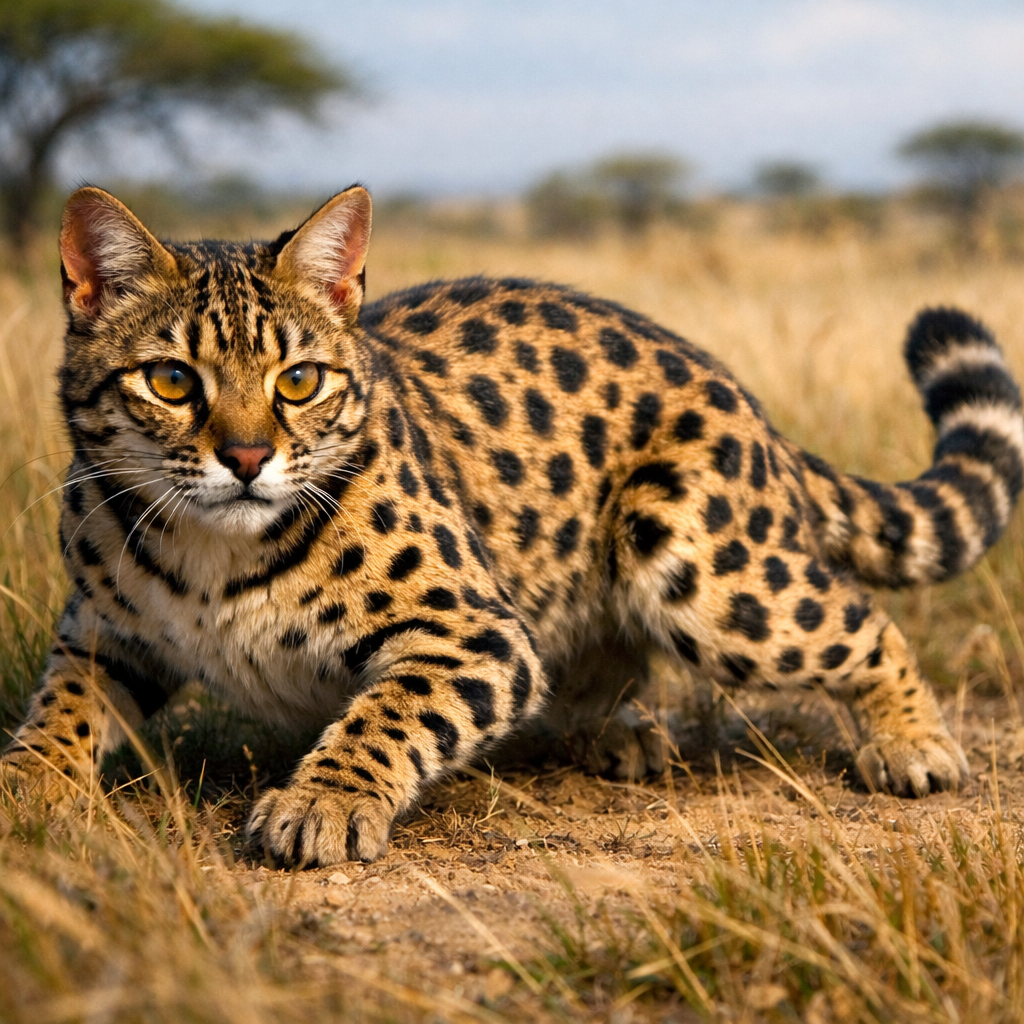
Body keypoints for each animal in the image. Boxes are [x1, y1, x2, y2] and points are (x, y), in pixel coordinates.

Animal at [2, 183, 1021, 866]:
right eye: (172, 380)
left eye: (299, 379)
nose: (247, 459)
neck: (213, 546)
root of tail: (732, 385)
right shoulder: (107, 633)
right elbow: (61, 709)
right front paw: (23, 786)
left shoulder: (474, 631)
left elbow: (387, 713)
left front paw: (319, 804)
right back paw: (616, 733)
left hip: (704, 563)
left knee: (858, 622)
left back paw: (913, 745)